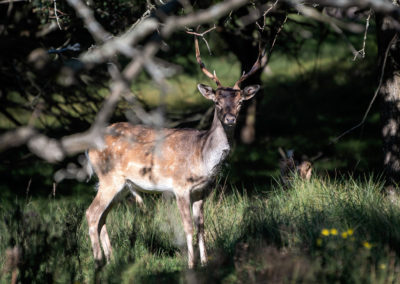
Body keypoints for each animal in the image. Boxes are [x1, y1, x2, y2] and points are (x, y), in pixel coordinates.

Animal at [86, 35, 264, 268]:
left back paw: (111, 259)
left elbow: (201, 227)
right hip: (109, 178)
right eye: (217, 102)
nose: (230, 119)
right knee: (91, 213)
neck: (201, 156)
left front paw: (205, 263)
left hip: (121, 185)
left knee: (103, 216)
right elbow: (188, 227)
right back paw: (98, 261)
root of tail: (88, 147)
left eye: (241, 102)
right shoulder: (180, 186)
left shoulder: (201, 191)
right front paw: (191, 264)